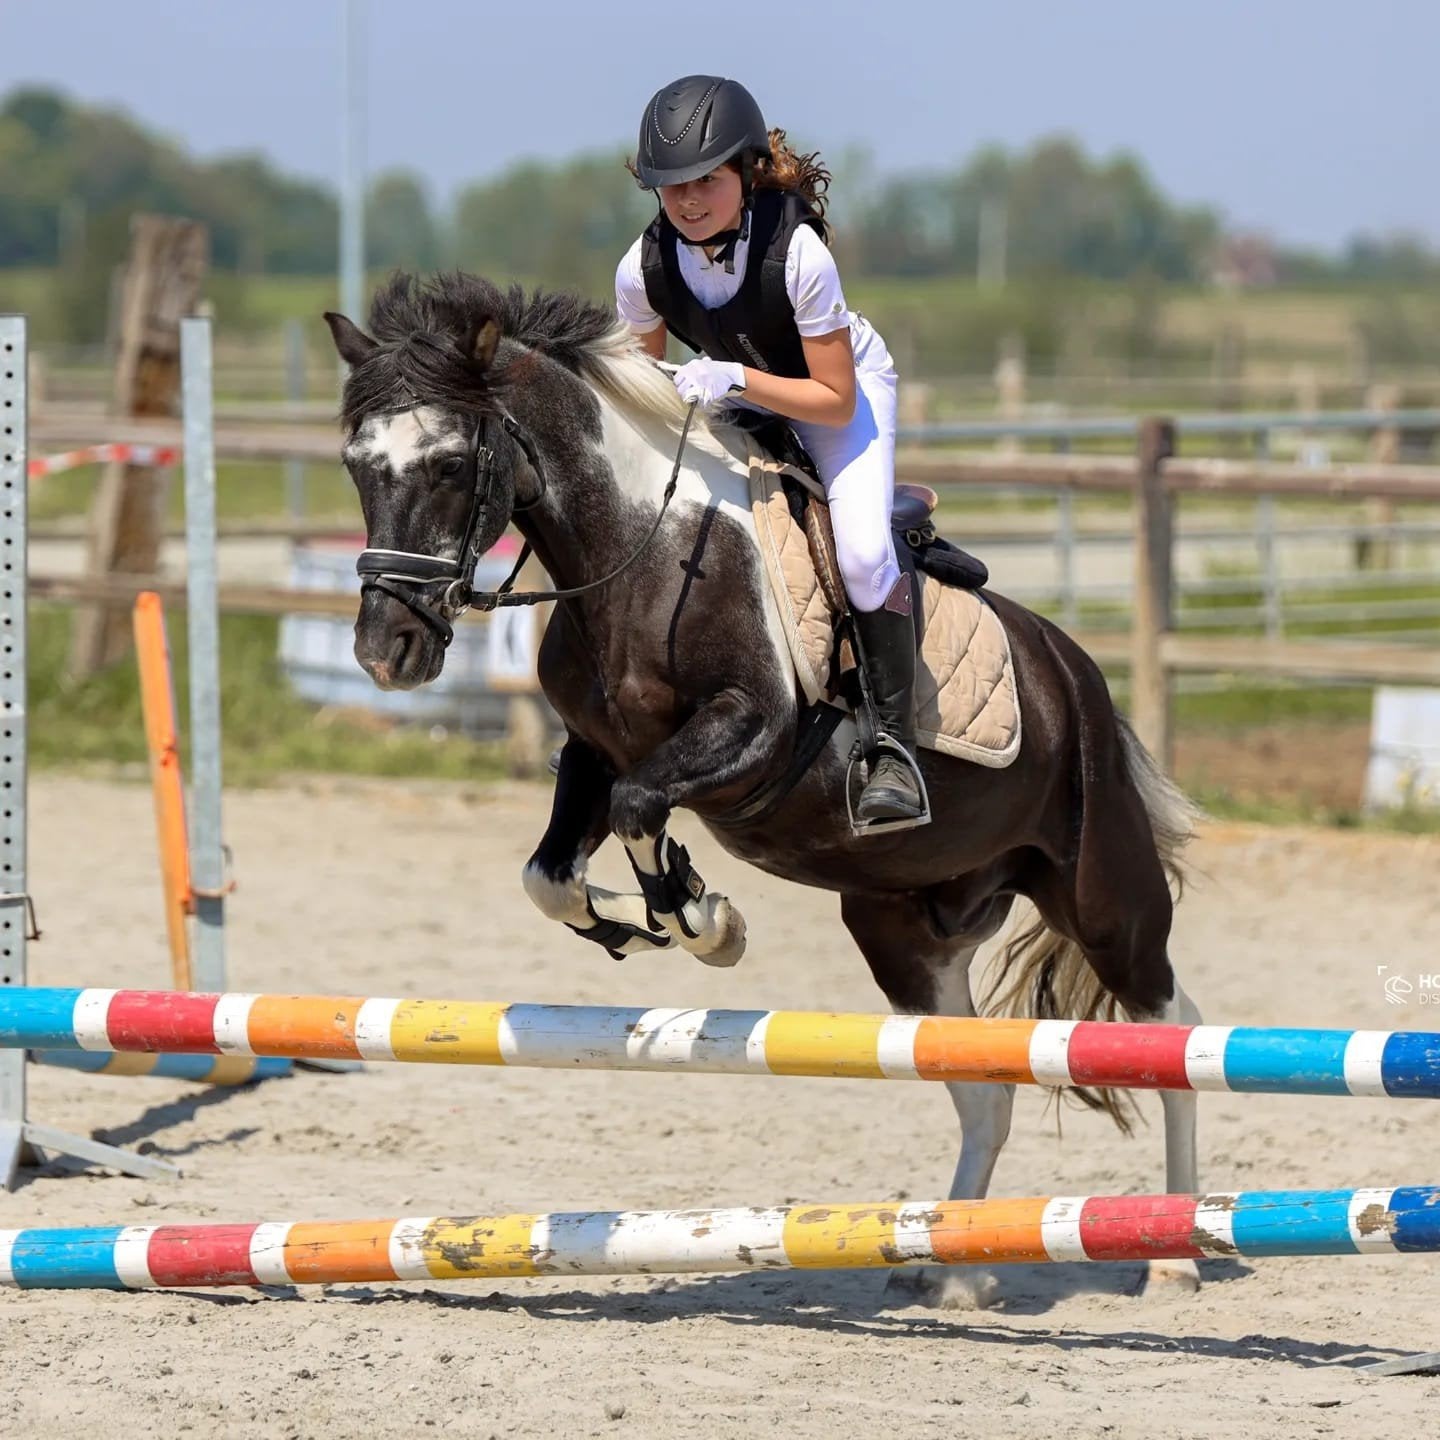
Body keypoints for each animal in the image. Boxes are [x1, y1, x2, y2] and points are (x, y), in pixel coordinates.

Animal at [325, 271, 1204, 1308]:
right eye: (358, 465)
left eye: (454, 463)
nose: (385, 654)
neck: (640, 548)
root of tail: (1076, 672)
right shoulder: (595, 751)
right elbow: (554, 872)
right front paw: (642, 916)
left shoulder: (750, 735)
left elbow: (643, 812)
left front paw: (706, 921)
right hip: (906, 933)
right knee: (982, 1080)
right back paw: (952, 1268)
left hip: (1100, 892)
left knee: (1174, 1028)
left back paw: (1175, 1254)